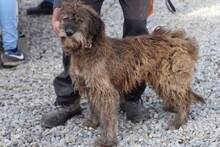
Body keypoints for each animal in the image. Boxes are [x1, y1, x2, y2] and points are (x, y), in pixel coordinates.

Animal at [58, 0, 205, 146]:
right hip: (161, 78)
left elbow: (108, 118)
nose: (69, 32)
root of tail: (185, 40)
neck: (87, 50)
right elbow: (94, 107)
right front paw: (94, 122)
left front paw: (106, 140)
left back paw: (178, 121)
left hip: (170, 77)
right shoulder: (90, 86)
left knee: (185, 98)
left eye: (80, 21)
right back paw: (173, 106)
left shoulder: (105, 91)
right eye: (65, 19)